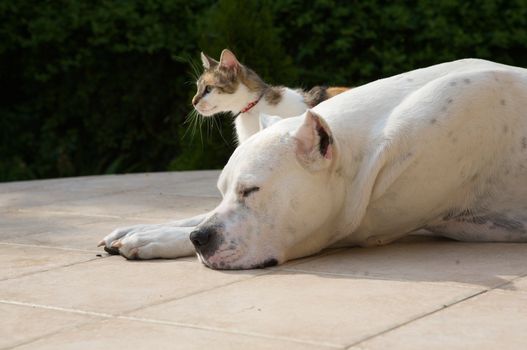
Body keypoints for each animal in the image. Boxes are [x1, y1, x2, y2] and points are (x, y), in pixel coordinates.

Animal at [100, 58, 527, 270]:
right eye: (224, 190)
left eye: (252, 191)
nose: (200, 240)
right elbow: (195, 214)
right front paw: (141, 228)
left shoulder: (347, 226)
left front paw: (153, 240)